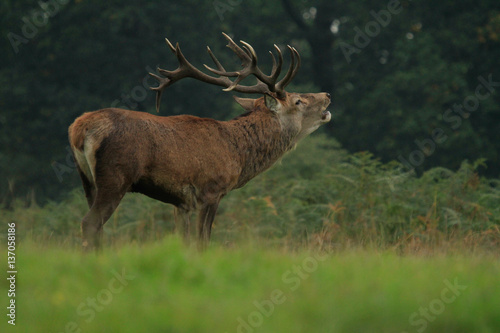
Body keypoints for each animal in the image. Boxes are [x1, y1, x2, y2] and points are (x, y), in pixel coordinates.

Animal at [68, 33, 330, 249]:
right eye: (298, 101)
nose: (326, 94)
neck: (237, 154)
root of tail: (79, 129)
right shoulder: (211, 189)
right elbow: (202, 241)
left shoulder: (181, 203)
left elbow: (183, 241)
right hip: (116, 175)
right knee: (90, 223)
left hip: (87, 180)